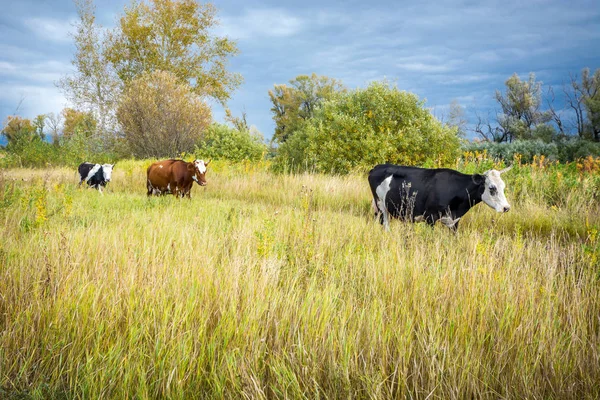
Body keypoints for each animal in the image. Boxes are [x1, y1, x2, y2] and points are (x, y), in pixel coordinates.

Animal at [368, 163, 512, 231]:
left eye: (503, 187)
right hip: (381, 206)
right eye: (492, 188)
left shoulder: (454, 222)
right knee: (385, 225)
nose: (506, 208)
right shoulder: (430, 218)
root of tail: (378, 166)